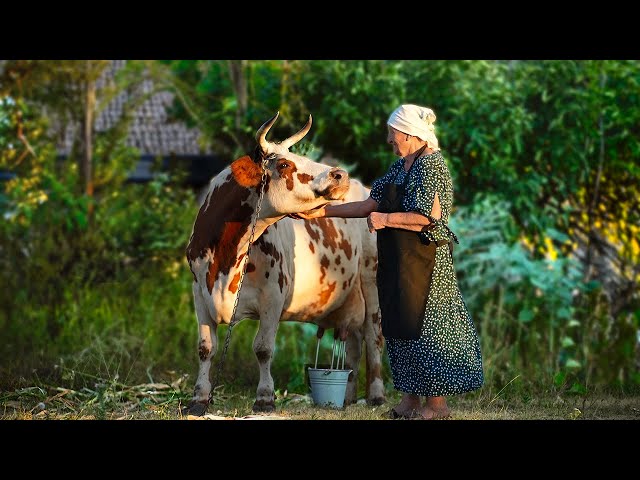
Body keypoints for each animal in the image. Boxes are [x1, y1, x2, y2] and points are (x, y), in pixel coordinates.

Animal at [185, 111, 384, 412]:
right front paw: (199, 399)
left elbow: (263, 348)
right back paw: (347, 398)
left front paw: (265, 398)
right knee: (353, 343)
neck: (225, 260)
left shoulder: (273, 296)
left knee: (373, 337)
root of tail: (365, 189)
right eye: (284, 163)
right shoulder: (199, 293)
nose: (341, 175)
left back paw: (376, 395)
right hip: (349, 296)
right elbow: (205, 348)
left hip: (371, 283)